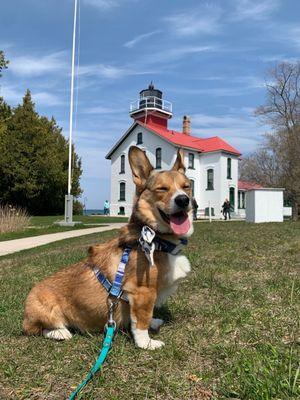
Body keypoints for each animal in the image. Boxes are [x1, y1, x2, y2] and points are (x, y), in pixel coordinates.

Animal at [22, 145, 193, 348]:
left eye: (187, 186)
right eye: (162, 189)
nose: (183, 200)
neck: (157, 239)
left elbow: (143, 317)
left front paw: (154, 322)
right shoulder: (142, 292)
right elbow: (141, 321)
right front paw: (146, 343)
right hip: (43, 310)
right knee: (39, 329)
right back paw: (60, 332)